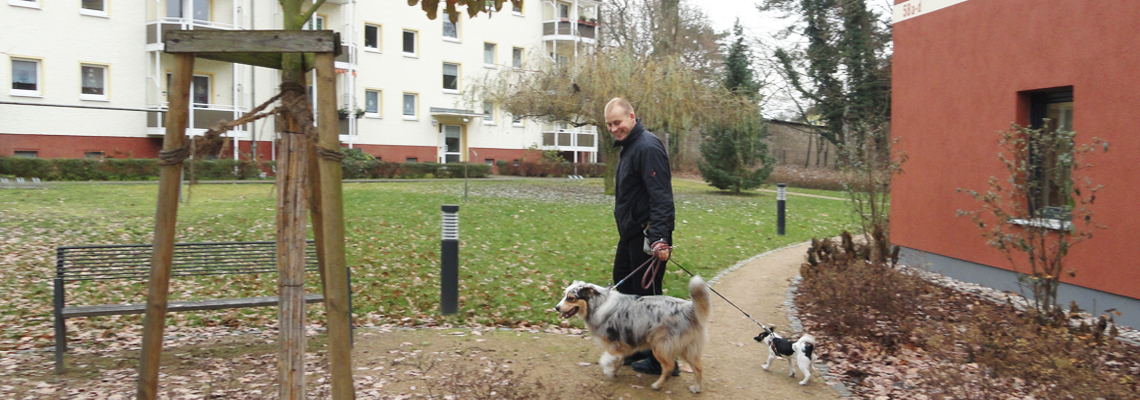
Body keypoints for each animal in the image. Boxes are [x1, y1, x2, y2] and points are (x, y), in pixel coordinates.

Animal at [554, 275, 706, 394]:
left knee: (669, 368)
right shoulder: (623, 345)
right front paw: (614, 371)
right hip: (688, 348)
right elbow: (618, 360)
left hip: (660, 347)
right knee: (698, 368)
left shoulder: (614, 344)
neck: (598, 305)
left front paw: (609, 371)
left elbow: (606, 359)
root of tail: (689, 308)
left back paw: (657, 385)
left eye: (571, 298)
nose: (556, 307)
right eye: (564, 295)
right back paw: (697, 388)